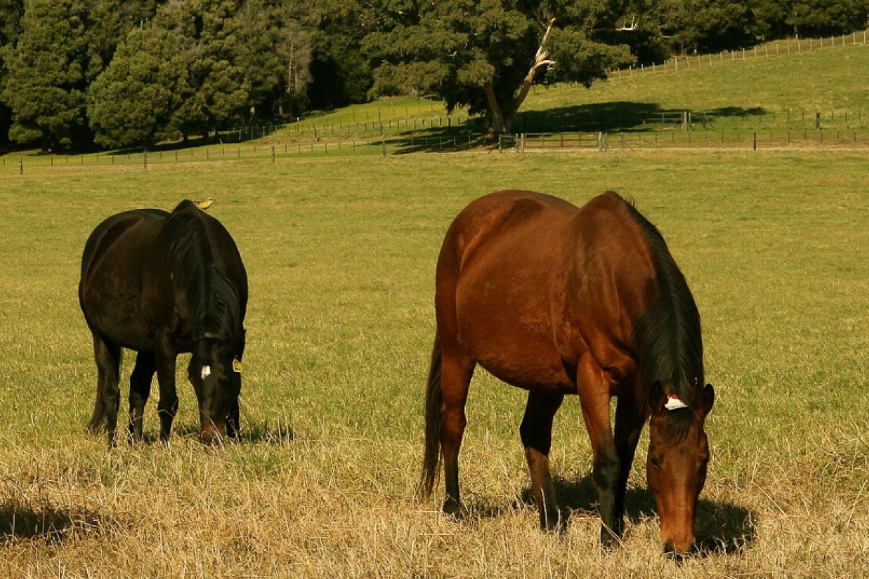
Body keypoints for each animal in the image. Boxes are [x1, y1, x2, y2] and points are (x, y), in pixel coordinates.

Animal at [79, 202, 248, 446]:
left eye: (224, 380)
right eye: (193, 380)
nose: (209, 437)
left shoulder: (236, 341)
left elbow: (234, 399)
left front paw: (236, 439)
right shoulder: (165, 344)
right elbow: (168, 401)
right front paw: (164, 445)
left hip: (146, 348)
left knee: (137, 388)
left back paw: (134, 440)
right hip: (102, 337)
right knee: (110, 392)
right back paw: (112, 444)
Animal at [418, 190, 712, 552]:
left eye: (703, 461)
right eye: (656, 459)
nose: (678, 546)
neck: (611, 279)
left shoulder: (636, 392)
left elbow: (624, 459)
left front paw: (615, 526)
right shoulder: (592, 379)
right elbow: (608, 462)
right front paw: (608, 538)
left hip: (544, 377)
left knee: (533, 433)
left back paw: (550, 520)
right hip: (456, 353)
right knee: (453, 426)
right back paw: (454, 508)